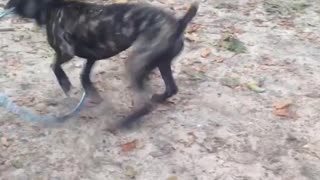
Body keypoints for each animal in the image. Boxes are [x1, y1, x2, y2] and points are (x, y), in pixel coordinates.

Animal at [5, 0, 199, 127]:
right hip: (161, 63)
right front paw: (92, 92)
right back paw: (157, 97)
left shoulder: (65, 52)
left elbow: (55, 66)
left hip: (135, 62)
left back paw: (123, 124)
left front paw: (65, 83)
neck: (53, 5)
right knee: (171, 88)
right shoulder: (92, 56)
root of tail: (179, 23)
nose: (5, 5)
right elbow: (84, 75)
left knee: (145, 104)